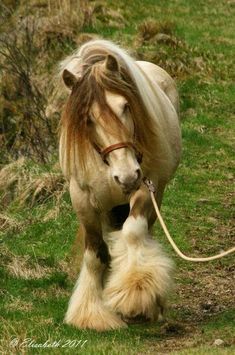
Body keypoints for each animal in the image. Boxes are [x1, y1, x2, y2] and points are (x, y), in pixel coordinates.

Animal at [58, 39, 182, 330]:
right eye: (87, 119)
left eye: (125, 106)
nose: (126, 176)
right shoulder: (82, 199)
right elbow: (95, 254)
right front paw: (92, 313)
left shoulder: (145, 186)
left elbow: (133, 233)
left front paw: (136, 292)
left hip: (156, 192)